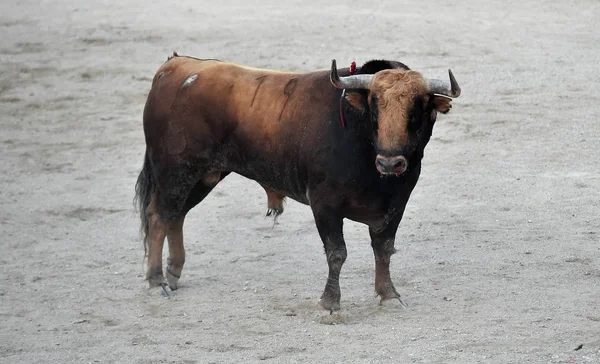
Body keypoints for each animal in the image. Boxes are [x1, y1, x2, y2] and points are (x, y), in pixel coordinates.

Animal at [136, 53, 462, 310]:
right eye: (374, 103)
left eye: (418, 107)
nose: (390, 163)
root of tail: (175, 65)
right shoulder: (324, 204)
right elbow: (337, 253)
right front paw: (330, 302)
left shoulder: (396, 204)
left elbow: (384, 248)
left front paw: (389, 295)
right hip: (175, 171)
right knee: (159, 216)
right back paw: (156, 281)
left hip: (203, 176)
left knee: (176, 215)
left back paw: (173, 273)